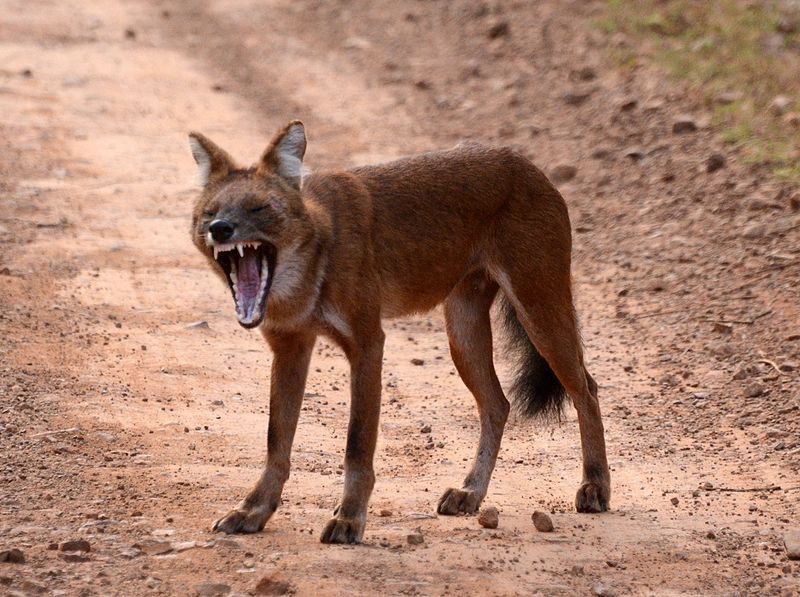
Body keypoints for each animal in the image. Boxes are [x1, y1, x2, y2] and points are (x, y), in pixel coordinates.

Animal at [189, 122, 612, 544]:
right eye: (209, 213)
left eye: (259, 208)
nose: (220, 229)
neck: (312, 267)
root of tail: (524, 163)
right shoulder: (290, 348)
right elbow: (276, 441)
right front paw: (253, 511)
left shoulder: (367, 343)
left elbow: (358, 443)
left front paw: (349, 519)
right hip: (463, 332)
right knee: (497, 404)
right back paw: (471, 492)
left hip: (539, 309)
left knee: (586, 389)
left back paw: (595, 486)